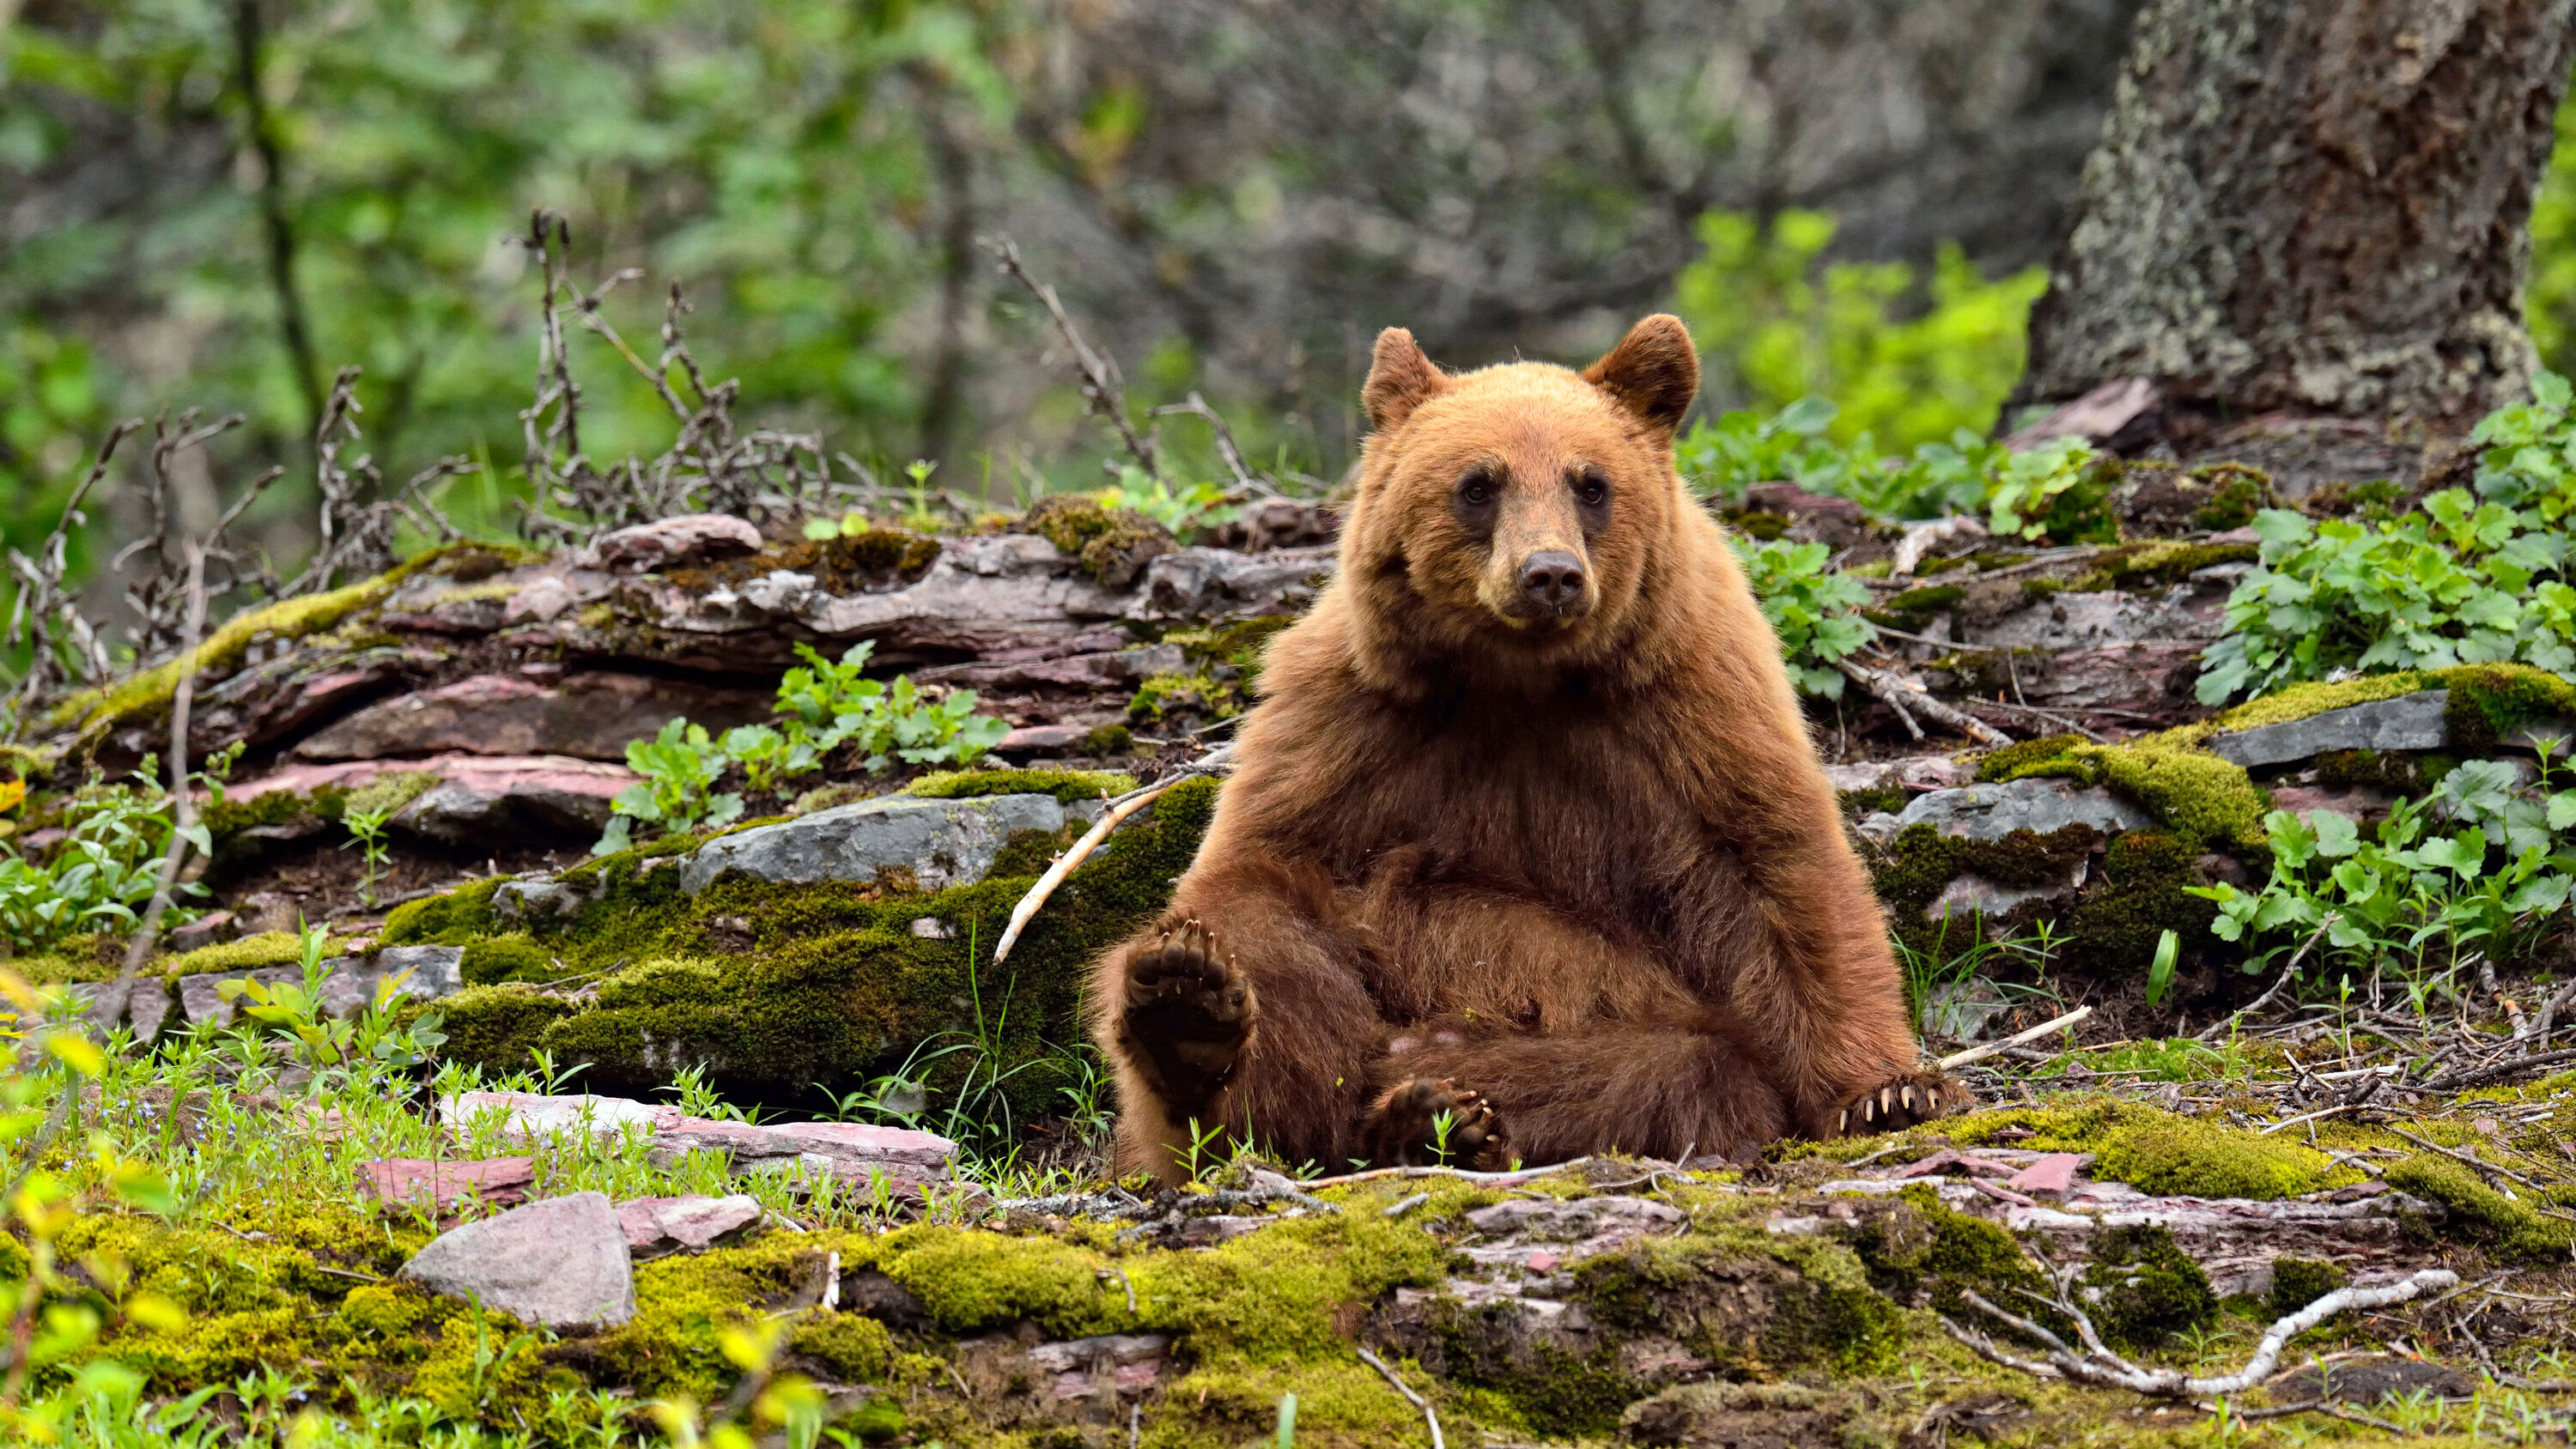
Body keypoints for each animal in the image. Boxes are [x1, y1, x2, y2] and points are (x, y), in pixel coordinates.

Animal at [1092, 315, 1968, 1179]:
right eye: (1478, 484)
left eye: (1592, 483)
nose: (1550, 574)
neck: (1520, 680)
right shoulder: (1346, 716)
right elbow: (1252, 863)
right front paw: (1190, 1001)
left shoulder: (1693, 706)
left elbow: (1782, 872)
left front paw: (1888, 1093)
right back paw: (1196, 1022)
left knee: (1662, 1069)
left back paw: (1435, 1119)